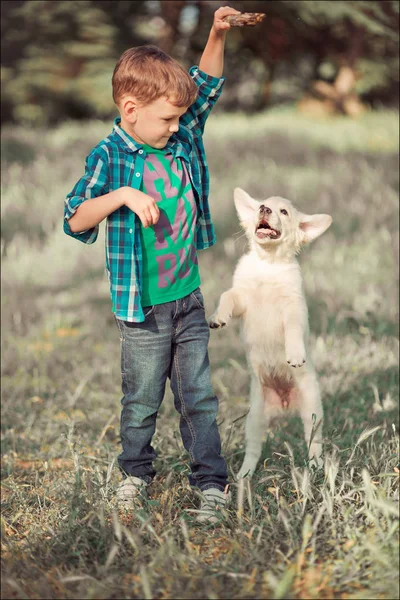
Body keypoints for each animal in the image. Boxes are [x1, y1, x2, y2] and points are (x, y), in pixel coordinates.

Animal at [209, 188, 332, 478]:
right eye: (261, 206)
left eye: (283, 212)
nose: (263, 210)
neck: (268, 264)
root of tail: (285, 404)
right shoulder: (241, 298)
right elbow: (227, 296)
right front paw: (218, 316)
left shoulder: (292, 307)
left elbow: (294, 330)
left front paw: (295, 353)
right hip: (255, 418)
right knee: (253, 449)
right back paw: (244, 474)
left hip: (312, 410)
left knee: (313, 441)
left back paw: (315, 467)